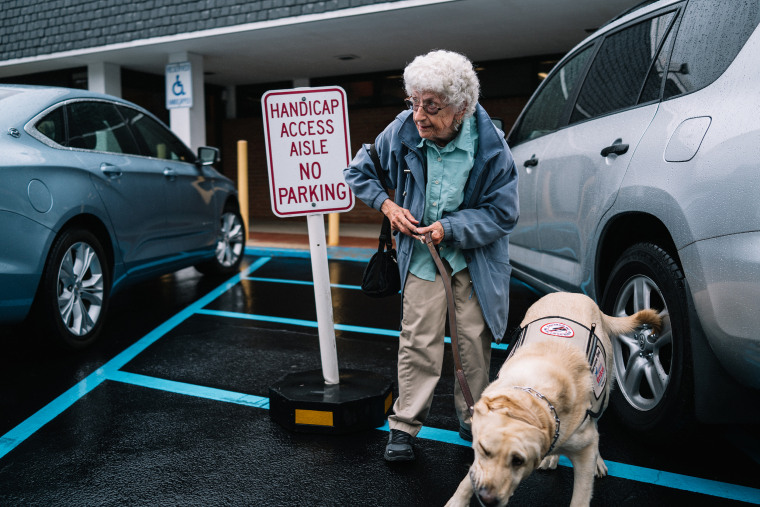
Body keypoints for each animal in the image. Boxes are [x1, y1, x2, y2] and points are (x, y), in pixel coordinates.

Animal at [446, 294, 660, 507]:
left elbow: (581, 496)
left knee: (597, 424)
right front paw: (458, 500)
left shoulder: (585, 450)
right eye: (483, 450)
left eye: (518, 461)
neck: (534, 398)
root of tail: (574, 294)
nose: (487, 499)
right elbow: (470, 476)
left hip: (603, 395)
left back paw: (597, 461)